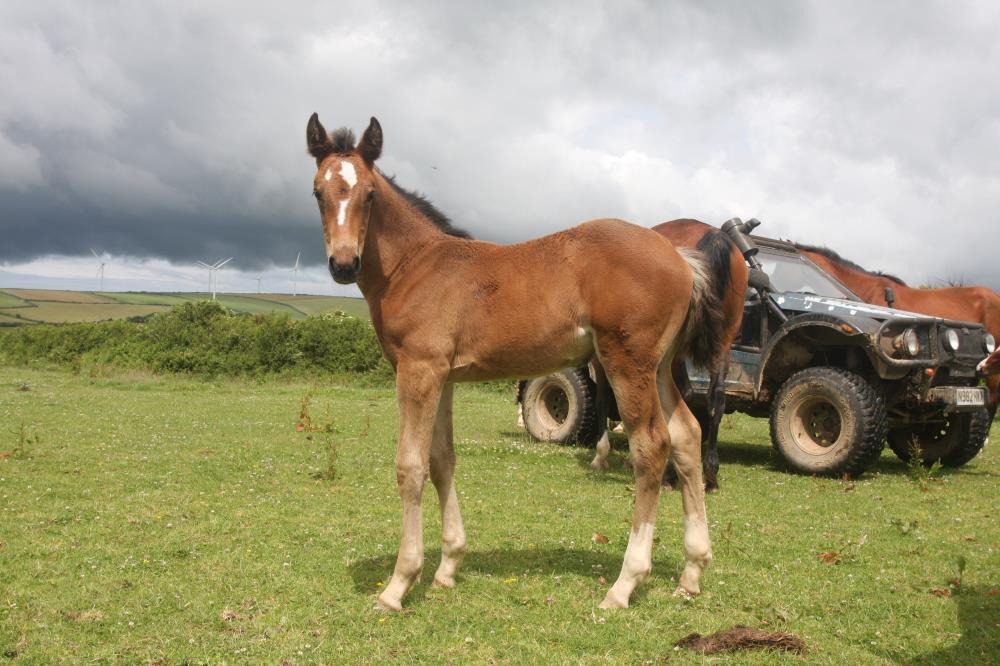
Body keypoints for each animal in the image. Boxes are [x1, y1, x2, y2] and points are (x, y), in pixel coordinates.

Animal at [304, 113, 728, 608]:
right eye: (318, 192)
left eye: (369, 193)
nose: (343, 264)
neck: (413, 266)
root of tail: (681, 259)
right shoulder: (443, 376)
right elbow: (442, 459)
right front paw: (448, 567)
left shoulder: (417, 368)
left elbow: (410, 466)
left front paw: (399, 584)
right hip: (659, 367)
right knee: (687, 436)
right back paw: (691, 573)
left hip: (628, 361)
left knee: (652, 446)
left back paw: (625, 583)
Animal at [588, 218, 748, 488]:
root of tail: (712, 234)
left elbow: (603, 399)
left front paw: (601, 456)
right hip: (723, 342)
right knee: (715, 398)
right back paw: (710, 474)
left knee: (683, 394)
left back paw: (672, 472)